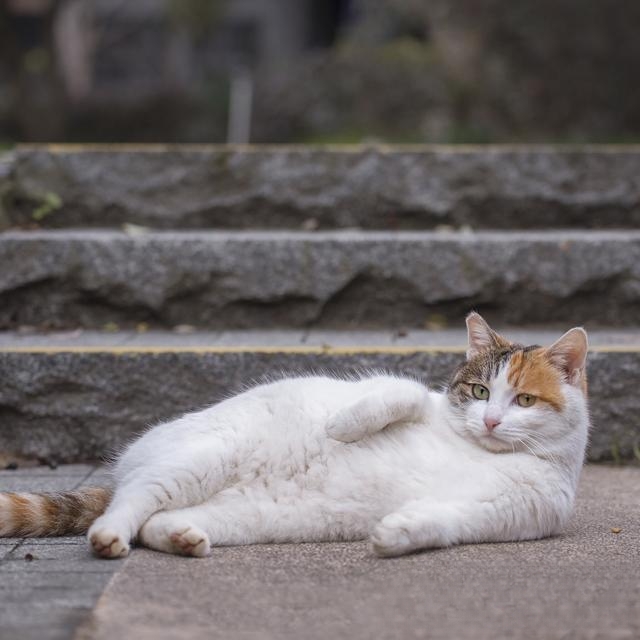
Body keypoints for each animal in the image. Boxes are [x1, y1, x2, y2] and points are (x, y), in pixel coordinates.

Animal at [0, 312, 592, 556]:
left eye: (524, 401)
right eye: (478, 391)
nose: (491, 421)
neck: (476, 450)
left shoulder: (503, 513)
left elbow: (443, 521)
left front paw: (394, 534)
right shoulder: (412, 396)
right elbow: (395, 391)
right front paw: (341, 427)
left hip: (237, 515)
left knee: (151, 522)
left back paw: (183, 539)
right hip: (196, 460)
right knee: (128, 504)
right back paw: (109, 536)